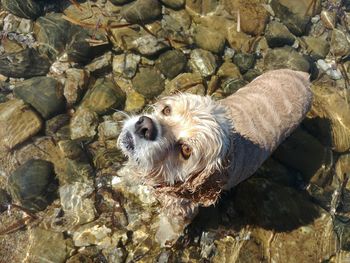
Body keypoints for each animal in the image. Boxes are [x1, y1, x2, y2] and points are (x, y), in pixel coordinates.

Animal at [117, 68, 312, 245]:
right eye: (166, 110)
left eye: (186, 150)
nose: (146, 126)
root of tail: (303, 75)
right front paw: (124, 177)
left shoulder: (182, 211)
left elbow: (170, 227)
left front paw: (160, 239)